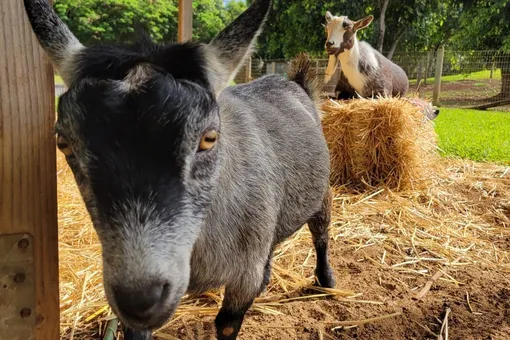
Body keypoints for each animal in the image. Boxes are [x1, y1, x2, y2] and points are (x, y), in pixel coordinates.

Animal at [22, 1, 334, 338]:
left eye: (209, 138)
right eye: (64, 143)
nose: (141, 297)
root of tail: (295, 81)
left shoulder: (243, 275)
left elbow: (227, 324)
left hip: (323, 193)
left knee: (321, 231)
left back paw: (326, 280)